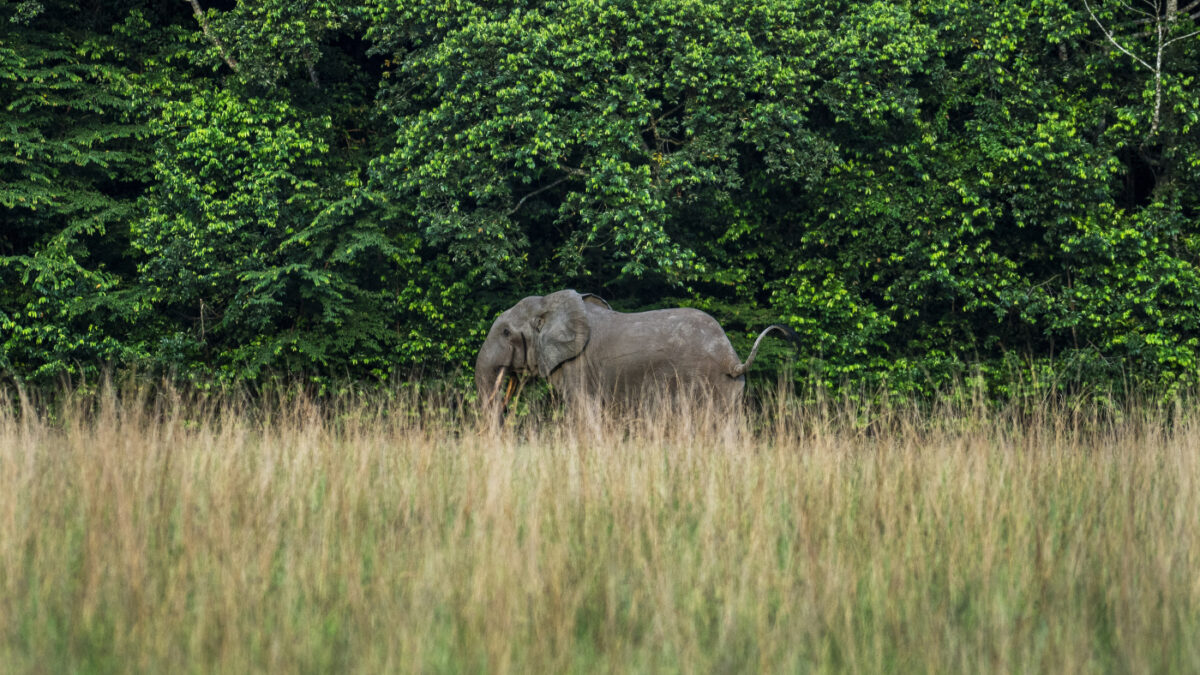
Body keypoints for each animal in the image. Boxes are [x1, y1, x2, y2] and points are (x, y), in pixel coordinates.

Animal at [474, 289, 796, 416]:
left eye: (506, 333)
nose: (504, 410)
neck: (550, 303)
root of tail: (732, 358)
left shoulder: (579, 367)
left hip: (703, 383)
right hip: (730, 389)